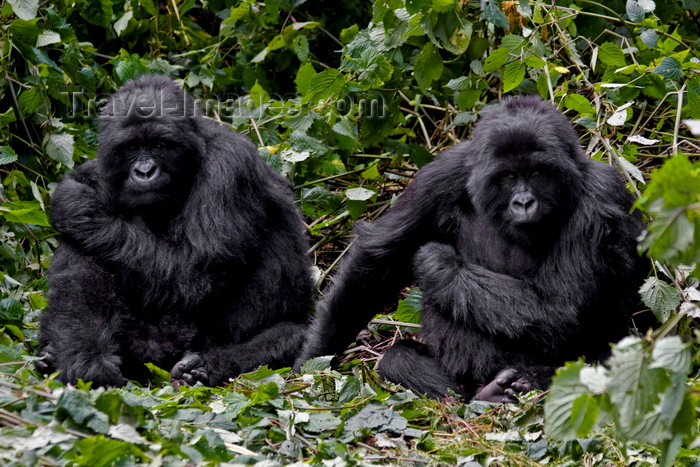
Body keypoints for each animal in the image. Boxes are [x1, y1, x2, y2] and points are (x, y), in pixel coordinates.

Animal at [38, 75, 312, 390]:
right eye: (131, 147)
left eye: (160, 144)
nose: (145, 172)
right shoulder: (101, 173)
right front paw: (85, 359)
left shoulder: (229, 165)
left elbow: (192, 276)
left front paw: (77, 205)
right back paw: (74, 358)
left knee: (292, 335)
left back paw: (205, 367)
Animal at [296, 98, 652, 402]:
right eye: (509, 176)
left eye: (537, 173)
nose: (524, 203)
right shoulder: (444, 173)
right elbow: (379, 258)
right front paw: (312, 361)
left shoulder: (600, 193)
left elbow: (560, 307)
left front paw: (439, 264)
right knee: (399, 357)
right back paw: (483, 391)